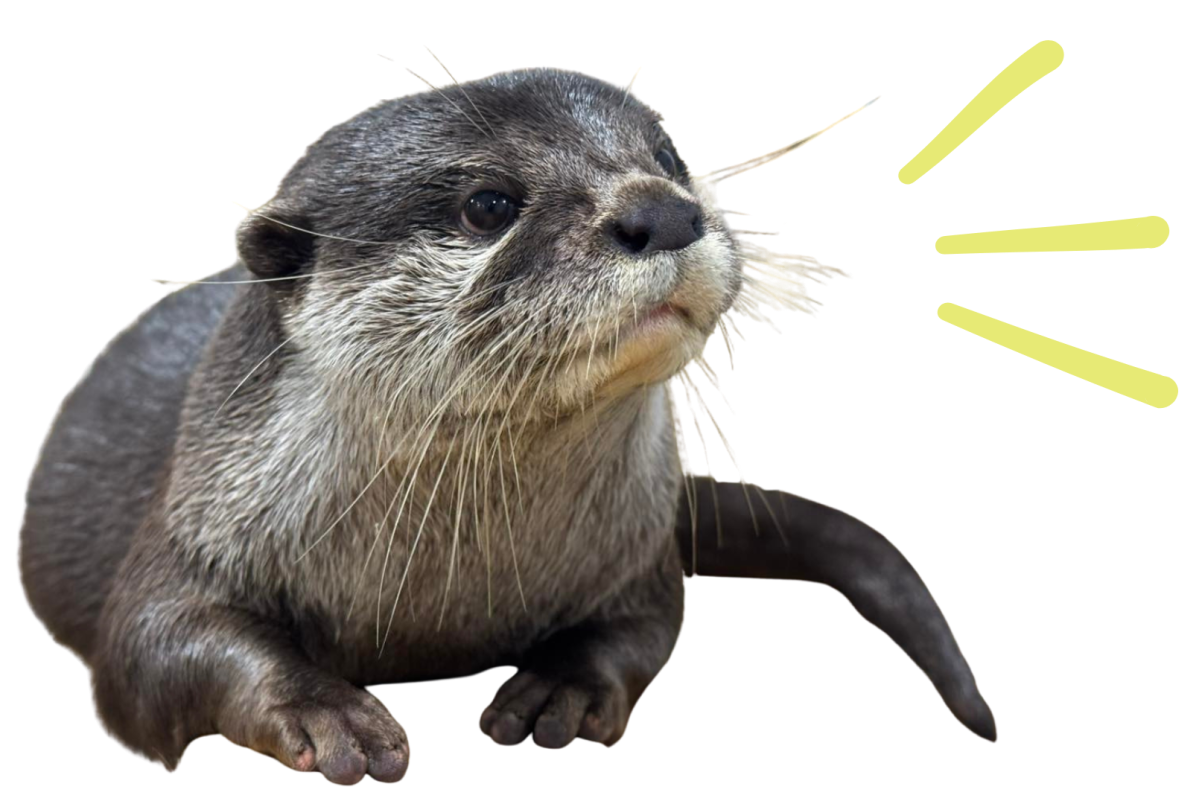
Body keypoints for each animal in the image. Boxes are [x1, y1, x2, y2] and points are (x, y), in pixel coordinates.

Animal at [16, 65, 997, 787]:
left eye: (666, 155)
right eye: (487, 204)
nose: (665, 210)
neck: (441, 597)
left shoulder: (632, 555)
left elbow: (641, 624)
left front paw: (563, 686)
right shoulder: (196, 520)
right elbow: (152, 646)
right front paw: (323, 713)